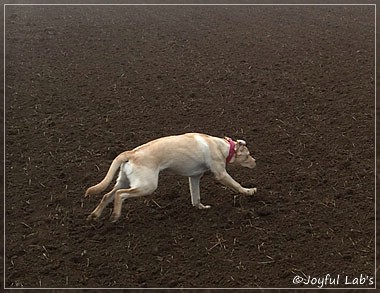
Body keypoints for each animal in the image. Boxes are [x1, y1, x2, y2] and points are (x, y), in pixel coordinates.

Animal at [85, 132, 256, 221]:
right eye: (248, 155)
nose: (255, 162)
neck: (224, 147)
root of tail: (131, 153)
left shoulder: (194, 177)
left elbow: (195, 197)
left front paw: (201, 207)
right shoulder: (221, 174)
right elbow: (237, 185)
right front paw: (249, 191)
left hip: (124, 181)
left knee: (107, 195)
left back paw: (95, 215)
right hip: (147, 185)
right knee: (120, 195)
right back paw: (115, 215)